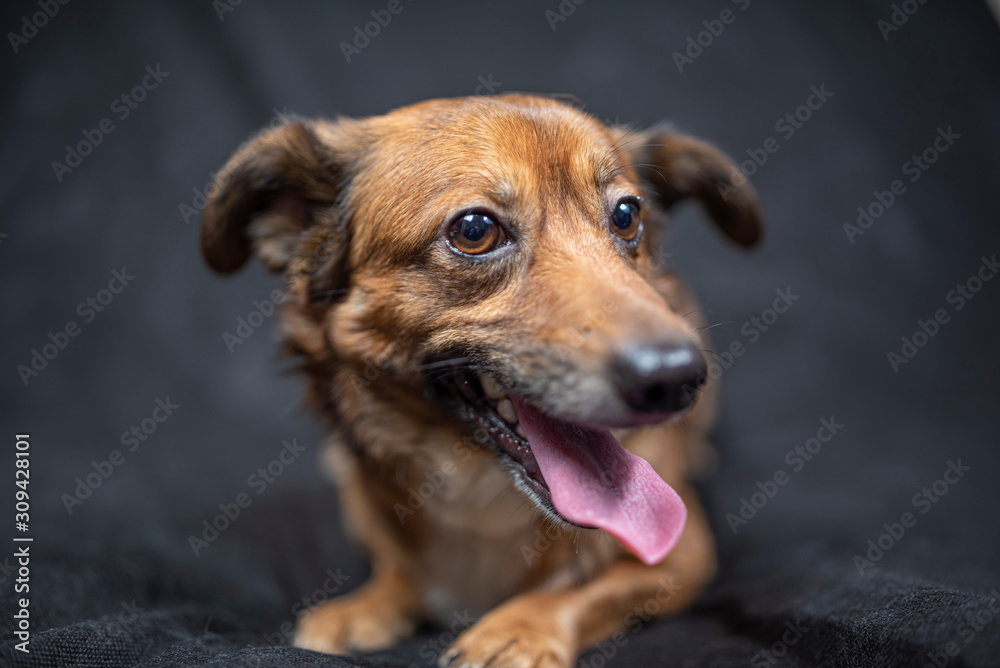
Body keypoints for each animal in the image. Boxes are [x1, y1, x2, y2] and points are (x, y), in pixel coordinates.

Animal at [201, 95, 764, 668]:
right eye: (475, 230)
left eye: (627, 216)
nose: (678, 378)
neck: (477, 493)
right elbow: (396, 568)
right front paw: (368, 604)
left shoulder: (683, 555)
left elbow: (582, 591)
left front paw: (517, 631)